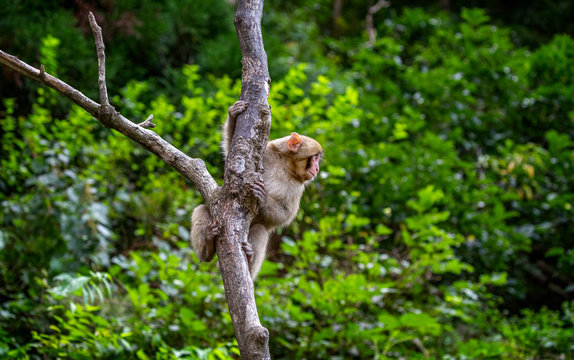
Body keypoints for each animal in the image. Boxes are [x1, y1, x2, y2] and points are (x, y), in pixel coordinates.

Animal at [191, 100, 322, 282]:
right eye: (315, 157)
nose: (317, 169)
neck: (286, 165)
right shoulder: (265, 152)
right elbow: (233, 155)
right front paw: (233, 114)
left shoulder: (298, 187)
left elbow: (285, 215)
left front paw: (263, 198)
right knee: (202, 209)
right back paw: (207, 247)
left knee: (260, 230)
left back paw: (249, 258)